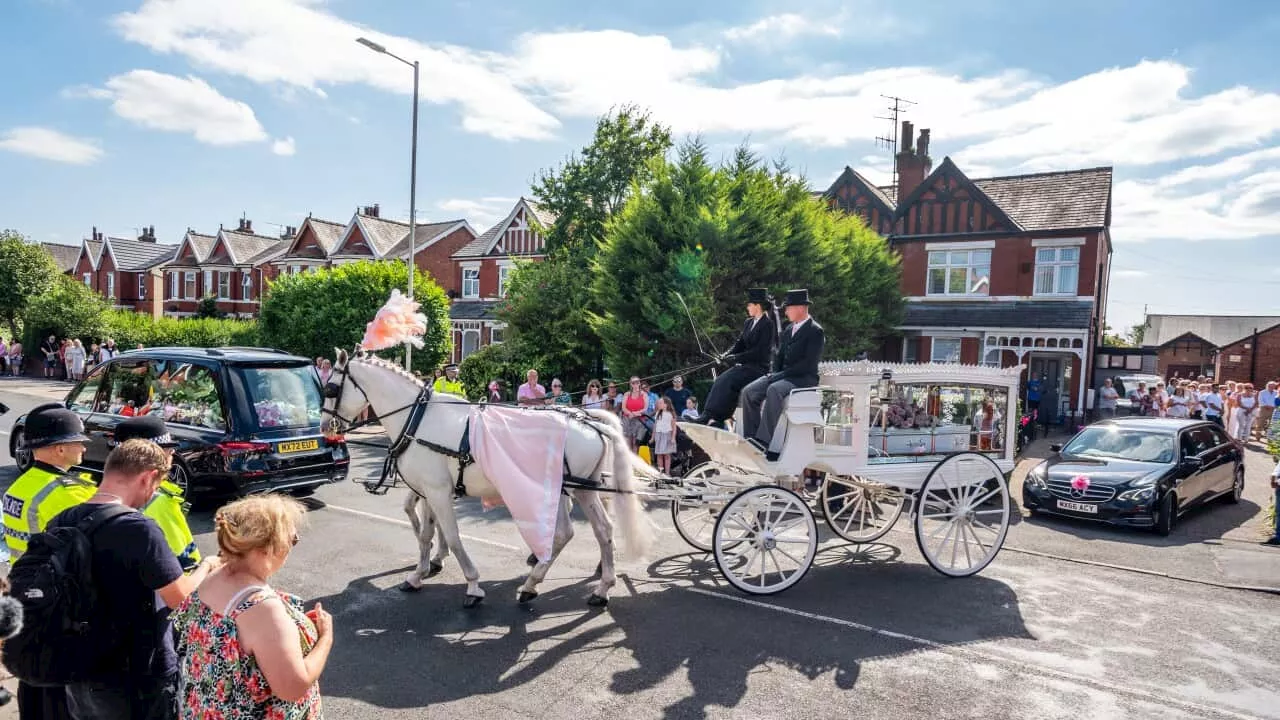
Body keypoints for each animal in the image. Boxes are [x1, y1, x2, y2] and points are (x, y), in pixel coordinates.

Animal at [325, 348, 655, 604]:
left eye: (330, 388)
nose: (327, 425)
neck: (417, 420)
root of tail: (588, 421)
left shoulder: (438, 492)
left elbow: (453, 536)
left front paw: (472, 585)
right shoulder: (429, 491)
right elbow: (427, 534)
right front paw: (418, 574)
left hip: (572, 489)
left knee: (580, 531)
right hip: (575, 489)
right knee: (595, 530)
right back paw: (583, 584)